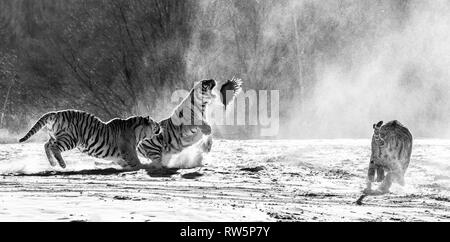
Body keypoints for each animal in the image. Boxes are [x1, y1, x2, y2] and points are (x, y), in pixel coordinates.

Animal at [18, 109, 162, 170]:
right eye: (155, 123)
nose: (160, 126)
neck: (138, 132)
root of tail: (56, 113)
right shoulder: (128, 151)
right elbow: (137, 163)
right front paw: (149, 166)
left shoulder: (119, 157)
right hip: (71, 138)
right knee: (53, 147)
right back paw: (62, 164)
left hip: (56, 136)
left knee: (46, 145)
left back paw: (53, 163)